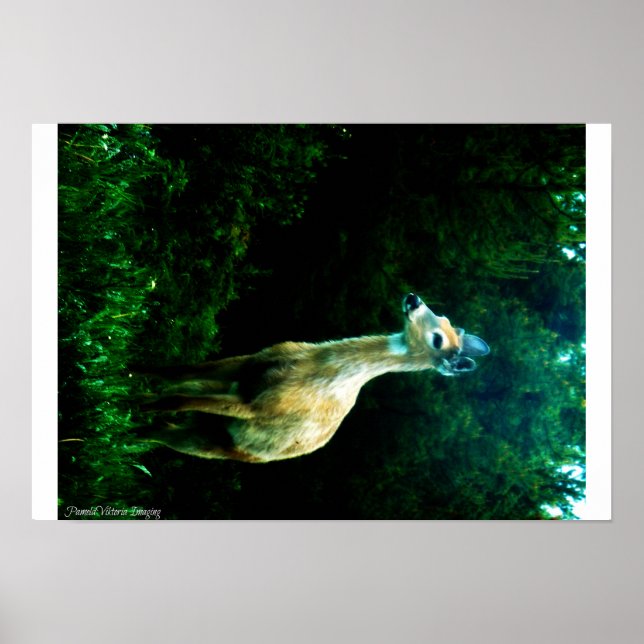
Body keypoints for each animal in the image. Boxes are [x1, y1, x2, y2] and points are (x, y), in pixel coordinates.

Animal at [134, 293, 489, 463]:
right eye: (443, 317)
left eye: (438, 340)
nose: (413, 298)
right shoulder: (250, 364)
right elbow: (177, 371)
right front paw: (135, 369)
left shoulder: (260, 406)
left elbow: (175, 396)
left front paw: (128, 398)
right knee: (171, 407)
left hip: (208, 440)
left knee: (161, 428)